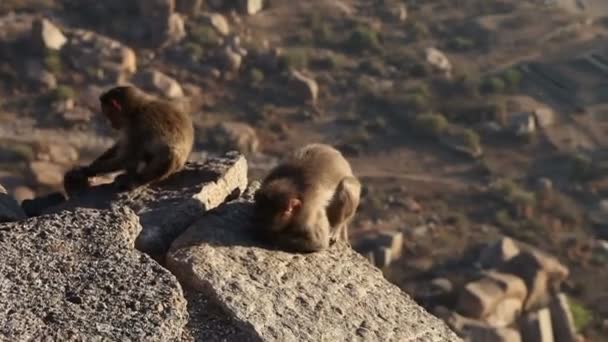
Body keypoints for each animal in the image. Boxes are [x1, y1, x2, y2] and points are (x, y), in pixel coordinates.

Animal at [67, 85, 195, 192]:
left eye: (108, 114)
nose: (111, 124)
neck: (136, 109)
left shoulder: (137, 126)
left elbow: (127, 158)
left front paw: (87, 170)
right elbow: (121, 147)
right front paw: (87, 167)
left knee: (168, 153)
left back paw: (137, 180)